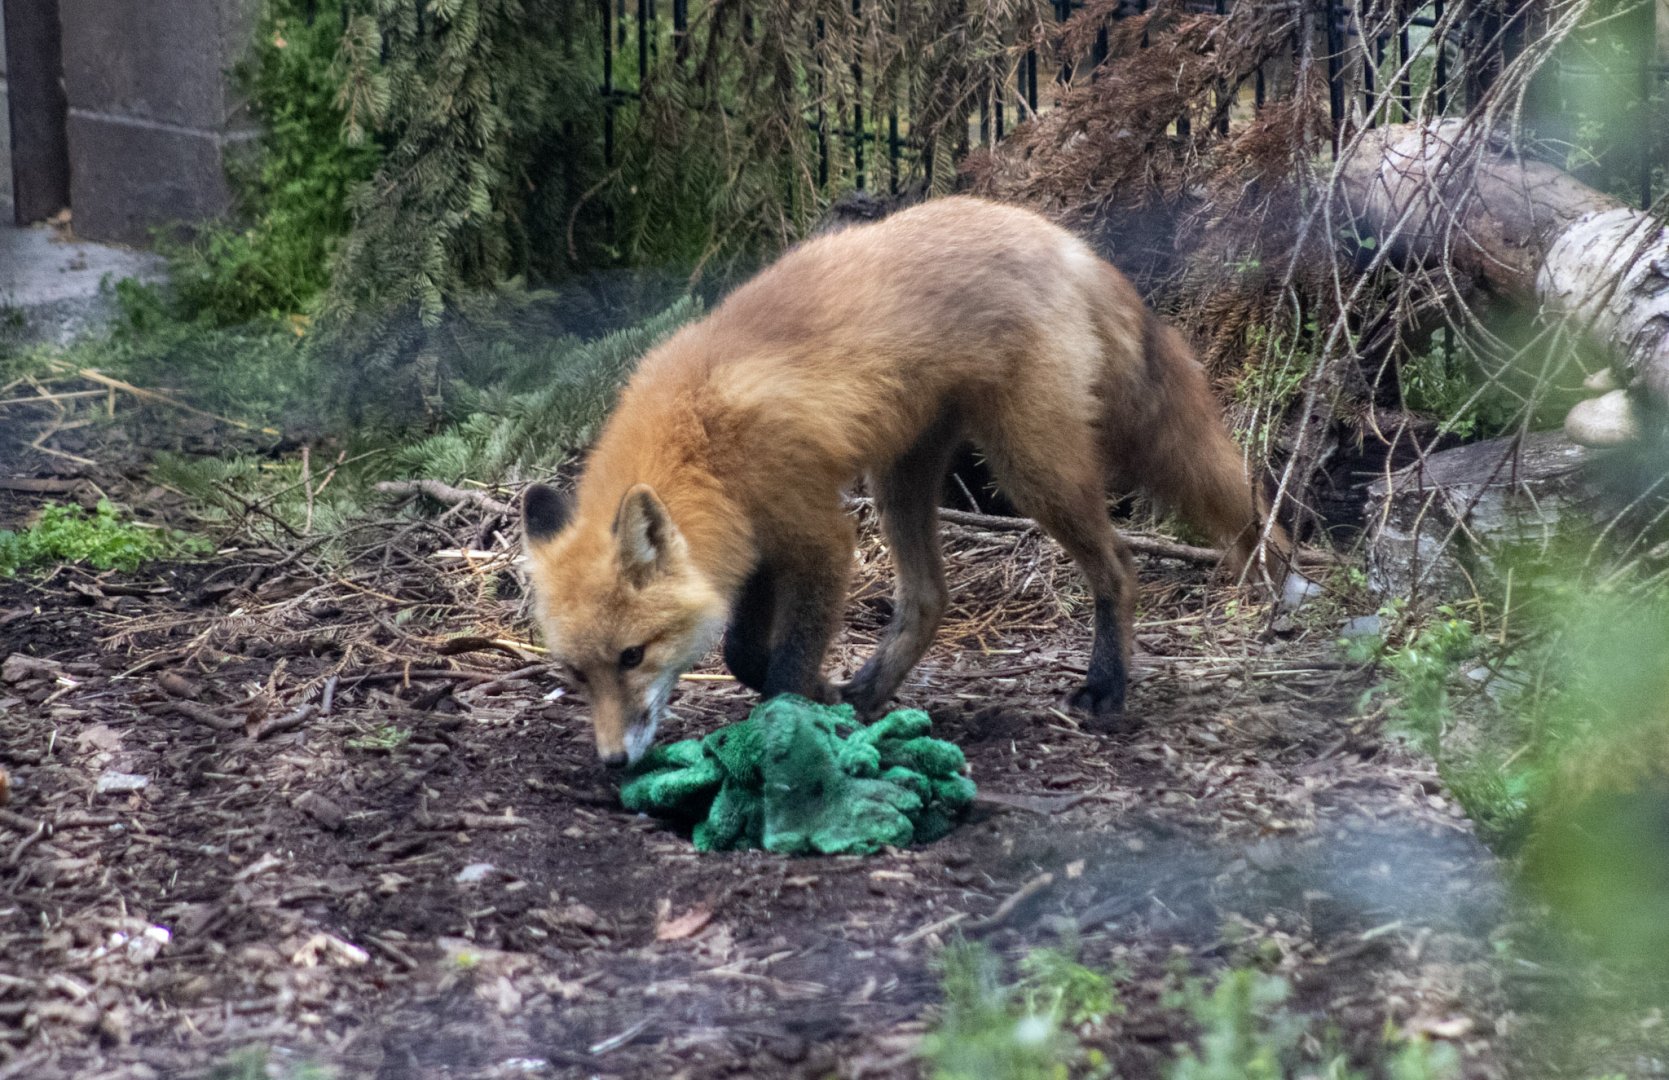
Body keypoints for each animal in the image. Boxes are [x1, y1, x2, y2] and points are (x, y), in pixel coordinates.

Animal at [521, 196, 1293, 767]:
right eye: (574, 674)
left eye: (632, 656)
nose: (614, 762)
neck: (701, 439)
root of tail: (1058, 237)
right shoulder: (753, 539)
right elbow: (741, 652)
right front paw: (822, 694)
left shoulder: (817, 533)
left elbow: (783, 659)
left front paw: (784, 725)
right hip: (903, 475)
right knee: (928, 599)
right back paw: (868, 692)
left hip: (1030, 465)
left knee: (1119, 565)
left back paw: (1105, 684)